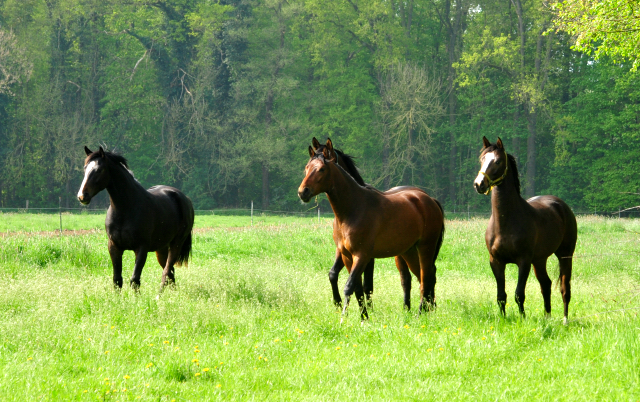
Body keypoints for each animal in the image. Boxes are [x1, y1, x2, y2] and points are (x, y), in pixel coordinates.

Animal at [77, 147, 194, 288]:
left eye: (99, 170)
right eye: (85, 168)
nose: (82, 196)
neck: (125, 210)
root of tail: (184, 198)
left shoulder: (142, 248)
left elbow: (135, 280)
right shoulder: (114, 247)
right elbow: (117, 280)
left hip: (176, 244)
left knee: (166, 272)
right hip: (161, 248)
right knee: (170, 273)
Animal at [472, 138, 576, 324]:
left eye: (498, 161)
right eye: (482, 159)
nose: (479, 184)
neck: (505, 222)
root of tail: (561, 205)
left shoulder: (524, 261)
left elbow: (519, 294)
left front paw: (522, 319)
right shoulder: (496, 261)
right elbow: (501, 296)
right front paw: (504, 319)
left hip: (565, 255)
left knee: (565, 288)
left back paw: (564, 320)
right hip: (540, 260)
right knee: (546, 285)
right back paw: (547, 316)